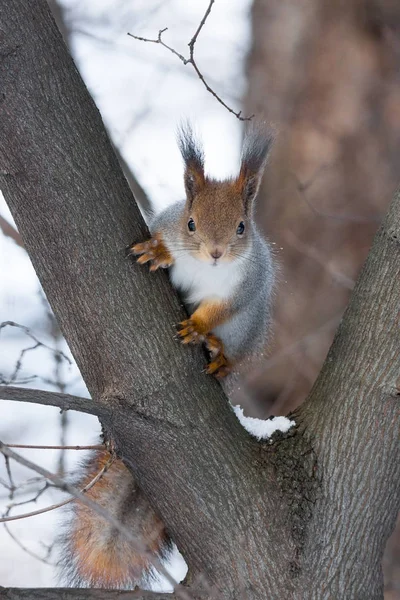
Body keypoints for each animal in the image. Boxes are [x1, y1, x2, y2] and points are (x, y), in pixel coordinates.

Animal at [60, 123, 276, 592]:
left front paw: (198, 328)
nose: (215, 252)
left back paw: (218, 354)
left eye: (241, 227)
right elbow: (162, 245)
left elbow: (220, 309)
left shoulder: (244, 286)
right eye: (189, 222)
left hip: (248, 331)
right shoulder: (168, 227)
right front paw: (157, 252)